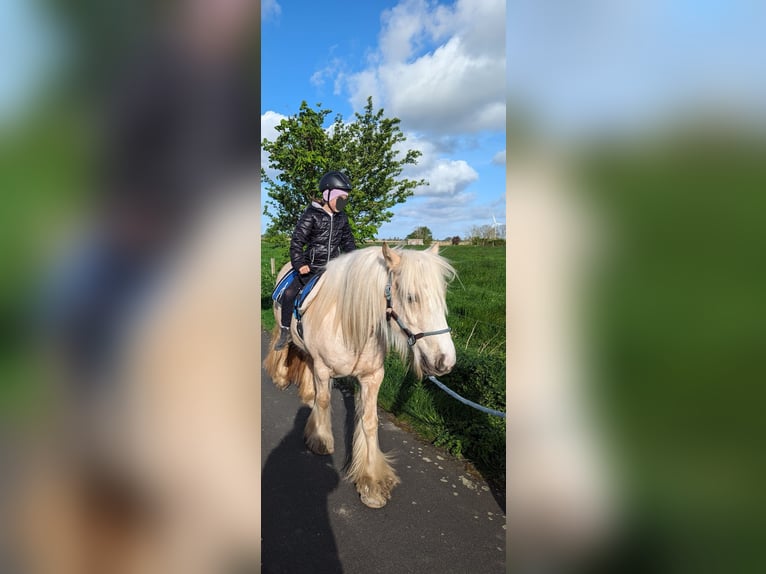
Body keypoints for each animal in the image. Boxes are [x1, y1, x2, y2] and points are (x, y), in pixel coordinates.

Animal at [264, 242, 456, 508]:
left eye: (441, 297)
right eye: (410, 297)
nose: (445, 361)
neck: (348, 325)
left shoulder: (372, 377)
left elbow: (369, 421)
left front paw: (371, 482)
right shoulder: (324, 369)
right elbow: (325, 401)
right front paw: (320, 439)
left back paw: (308, 394)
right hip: (284, 328)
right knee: (284, 345)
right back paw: (282, 378)